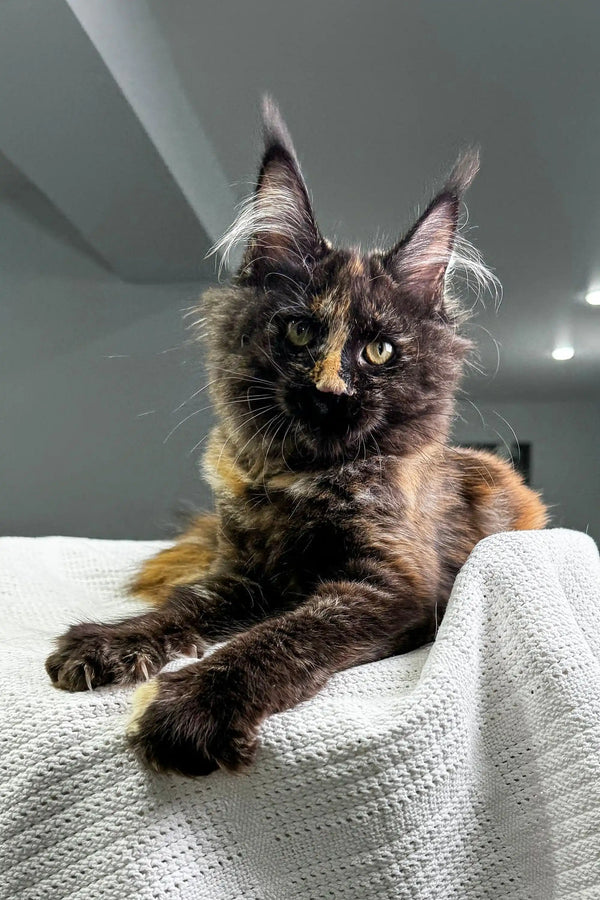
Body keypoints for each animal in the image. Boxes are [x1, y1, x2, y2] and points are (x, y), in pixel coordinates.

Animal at [44, 96, 548, 772]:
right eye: (300, 332)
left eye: (380, 351)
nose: (329, 394)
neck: (301, 479)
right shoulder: (240, 572)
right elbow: (188, 603)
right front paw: (110, 640)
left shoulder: (391, 588)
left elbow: (284, 635)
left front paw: (194, 708)